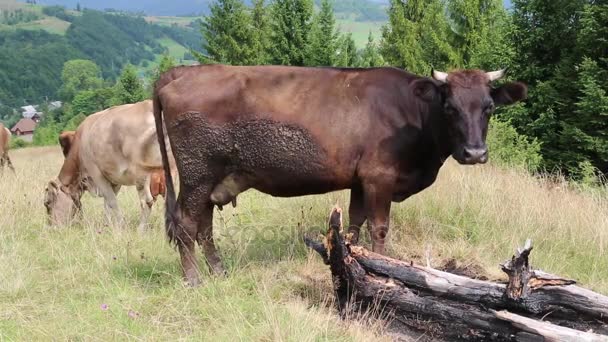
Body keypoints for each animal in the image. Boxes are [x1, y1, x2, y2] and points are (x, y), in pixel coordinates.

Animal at [43, 100, 175, 231]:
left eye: (47, 203)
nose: (51, 227)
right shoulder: (114, 179)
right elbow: (107, 203)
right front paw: (107, 225)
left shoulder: (96, 174)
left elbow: (112, 201)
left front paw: (121, 226)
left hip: (142, 173)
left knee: (147, 201)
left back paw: (141, 229)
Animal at [153, 65, 528, 286]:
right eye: (450, 107)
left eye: (489, 108)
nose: (475, 153)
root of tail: (184, 71)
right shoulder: (379, 177)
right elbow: (379, 227)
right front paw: (386, 268)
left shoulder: (360, 181)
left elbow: (354, 224)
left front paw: (355, 261)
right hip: (197, 174)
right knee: (186, 225)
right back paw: (194, 280)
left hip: (210, 179)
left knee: (204, 227)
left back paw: (219, 272)